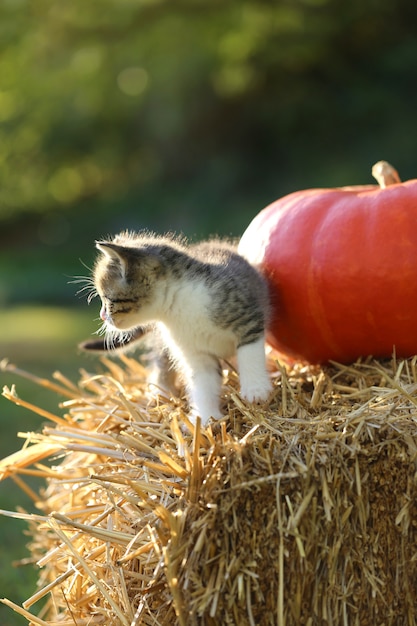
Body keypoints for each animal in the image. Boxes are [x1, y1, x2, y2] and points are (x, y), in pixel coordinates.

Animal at [86, 232, 272, 426]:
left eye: (108, 299)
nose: (102, 315)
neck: (177, 306)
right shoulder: (195, 353)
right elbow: (204, 383)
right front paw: (206, 418)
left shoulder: (248, 318)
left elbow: (250, 354)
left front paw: (255, 389)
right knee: (161, 361)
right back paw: (161, 392)